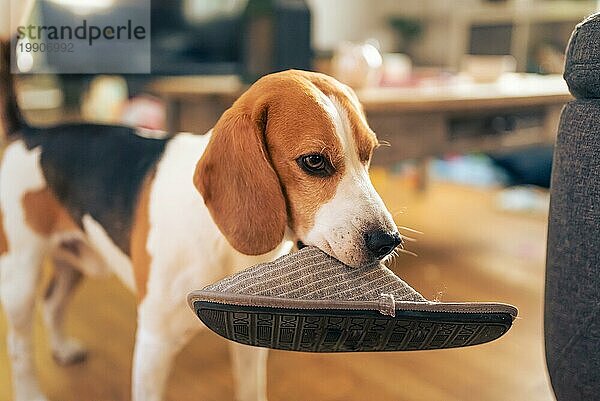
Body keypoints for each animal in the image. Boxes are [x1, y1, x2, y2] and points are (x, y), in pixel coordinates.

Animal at [0, 41, 404, 400]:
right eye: (314, 161)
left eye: (368, 154)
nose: (388, 241)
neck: (220, 238)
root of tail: (31, 132)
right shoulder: (154, 344)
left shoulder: (249, 340)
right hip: (20, 277)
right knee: (20, 346)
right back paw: (31, 392)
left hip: (77, 257)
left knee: (53, 302)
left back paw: (62, 349)